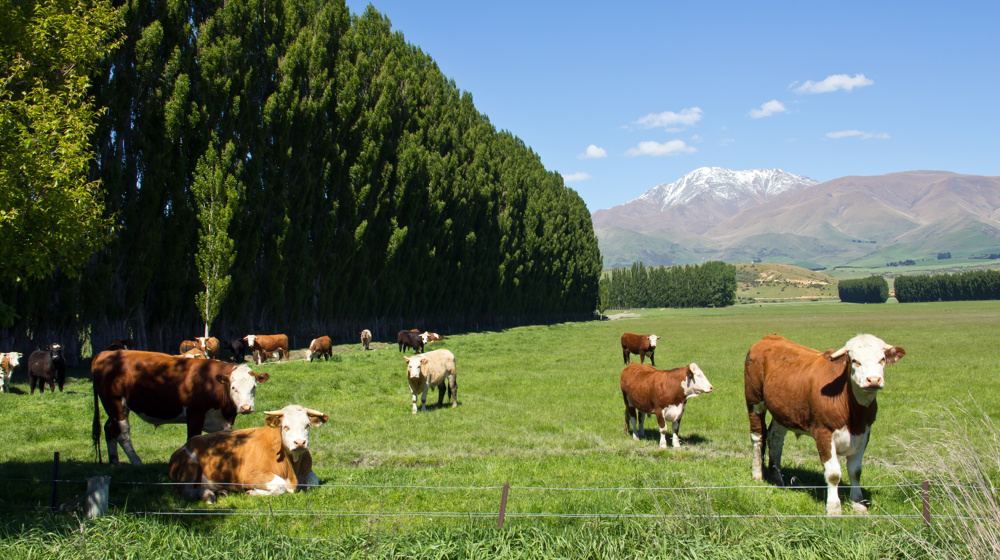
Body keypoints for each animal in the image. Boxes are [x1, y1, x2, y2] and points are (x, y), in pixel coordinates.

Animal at [91, 350, 270, 466]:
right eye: (233, 387)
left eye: (254, 386)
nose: (246, 407)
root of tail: (104, 354)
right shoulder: (195, 416)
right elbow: (193, 439)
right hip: (115, 403)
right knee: (122, 433)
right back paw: (136, 462)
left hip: (113, 408)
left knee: (109, 428)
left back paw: (114, 462)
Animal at [168, 404, 328, 503]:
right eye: (285, 426)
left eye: (307, 425)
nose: (300, 442)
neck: (291, 470)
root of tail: (183, 446)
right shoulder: (250, 475)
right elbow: (280, 485)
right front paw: (252, 492)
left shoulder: (308, 471)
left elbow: (313, 482)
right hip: (188, 469)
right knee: (185, 490)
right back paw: (207, 495)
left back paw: (220, 492)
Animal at [744, 333, 906, 516]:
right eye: (855, 361)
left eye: (882, 359)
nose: (873, 380)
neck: (854, 413)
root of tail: (770, 337)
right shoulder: (823, 433)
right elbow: (833, 474)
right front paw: (834, 508)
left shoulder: (864, 434)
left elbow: (855, 471)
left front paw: (858, 504)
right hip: (754, 400)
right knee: (758, 437)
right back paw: (757, 474)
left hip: (782, 410)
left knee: (776, 439)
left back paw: (777, 477)